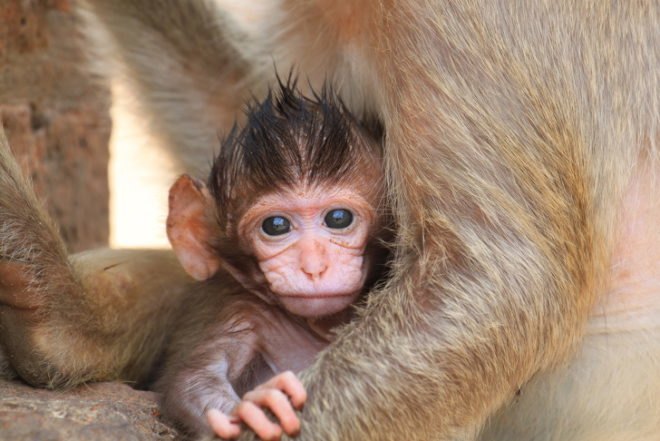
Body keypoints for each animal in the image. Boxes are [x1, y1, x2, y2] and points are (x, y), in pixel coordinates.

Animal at [158, 82, 388, 440]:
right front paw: (247, 409)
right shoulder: (242, 310)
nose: (314, 267)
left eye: (338, 218)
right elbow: (191, 380)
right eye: (276, 226)